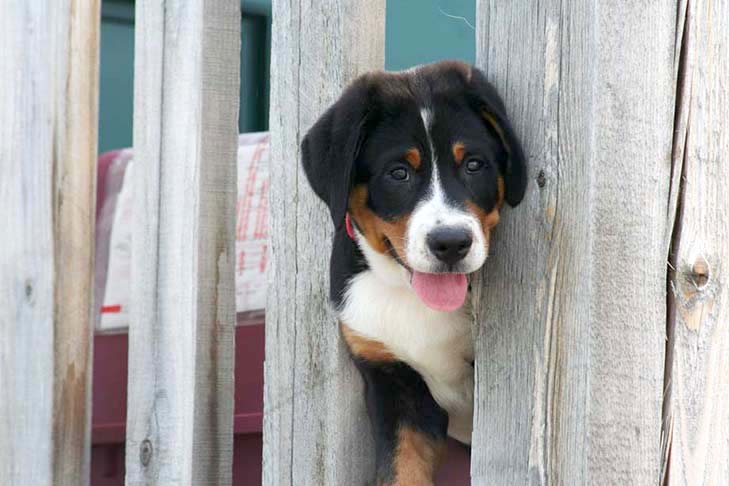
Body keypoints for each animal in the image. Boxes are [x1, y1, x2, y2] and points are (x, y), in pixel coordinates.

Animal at [298, 60, 528, 486]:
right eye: (399, 173)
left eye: (474, 164)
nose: (450, 242)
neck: (409, 298)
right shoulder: (393, 383)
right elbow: (401, 470)